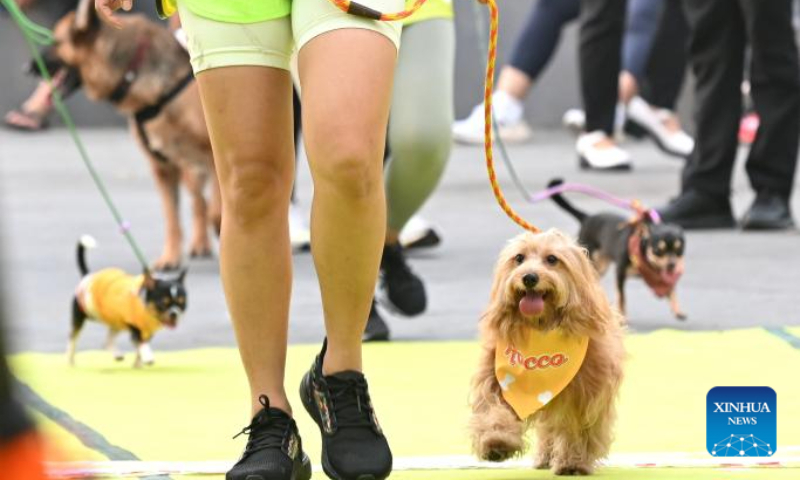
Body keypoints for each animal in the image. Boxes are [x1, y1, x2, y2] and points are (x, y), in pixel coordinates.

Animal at [49, 0, 219, 270]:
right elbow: (172, 218)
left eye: (56, 42)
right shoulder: (163, 168)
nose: (26, 67)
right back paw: (200, 243)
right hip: (187, 168)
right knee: (197, 202)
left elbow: (219, 208)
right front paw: (170, 258)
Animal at [468, 231, 624, 474]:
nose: (529, 278)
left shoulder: (584, 395)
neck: (541, 327)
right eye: (519, 258)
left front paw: (573, 462)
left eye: (552, 259)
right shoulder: (497, 377)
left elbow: (576, 429)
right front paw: (496, 442)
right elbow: (492, 409)